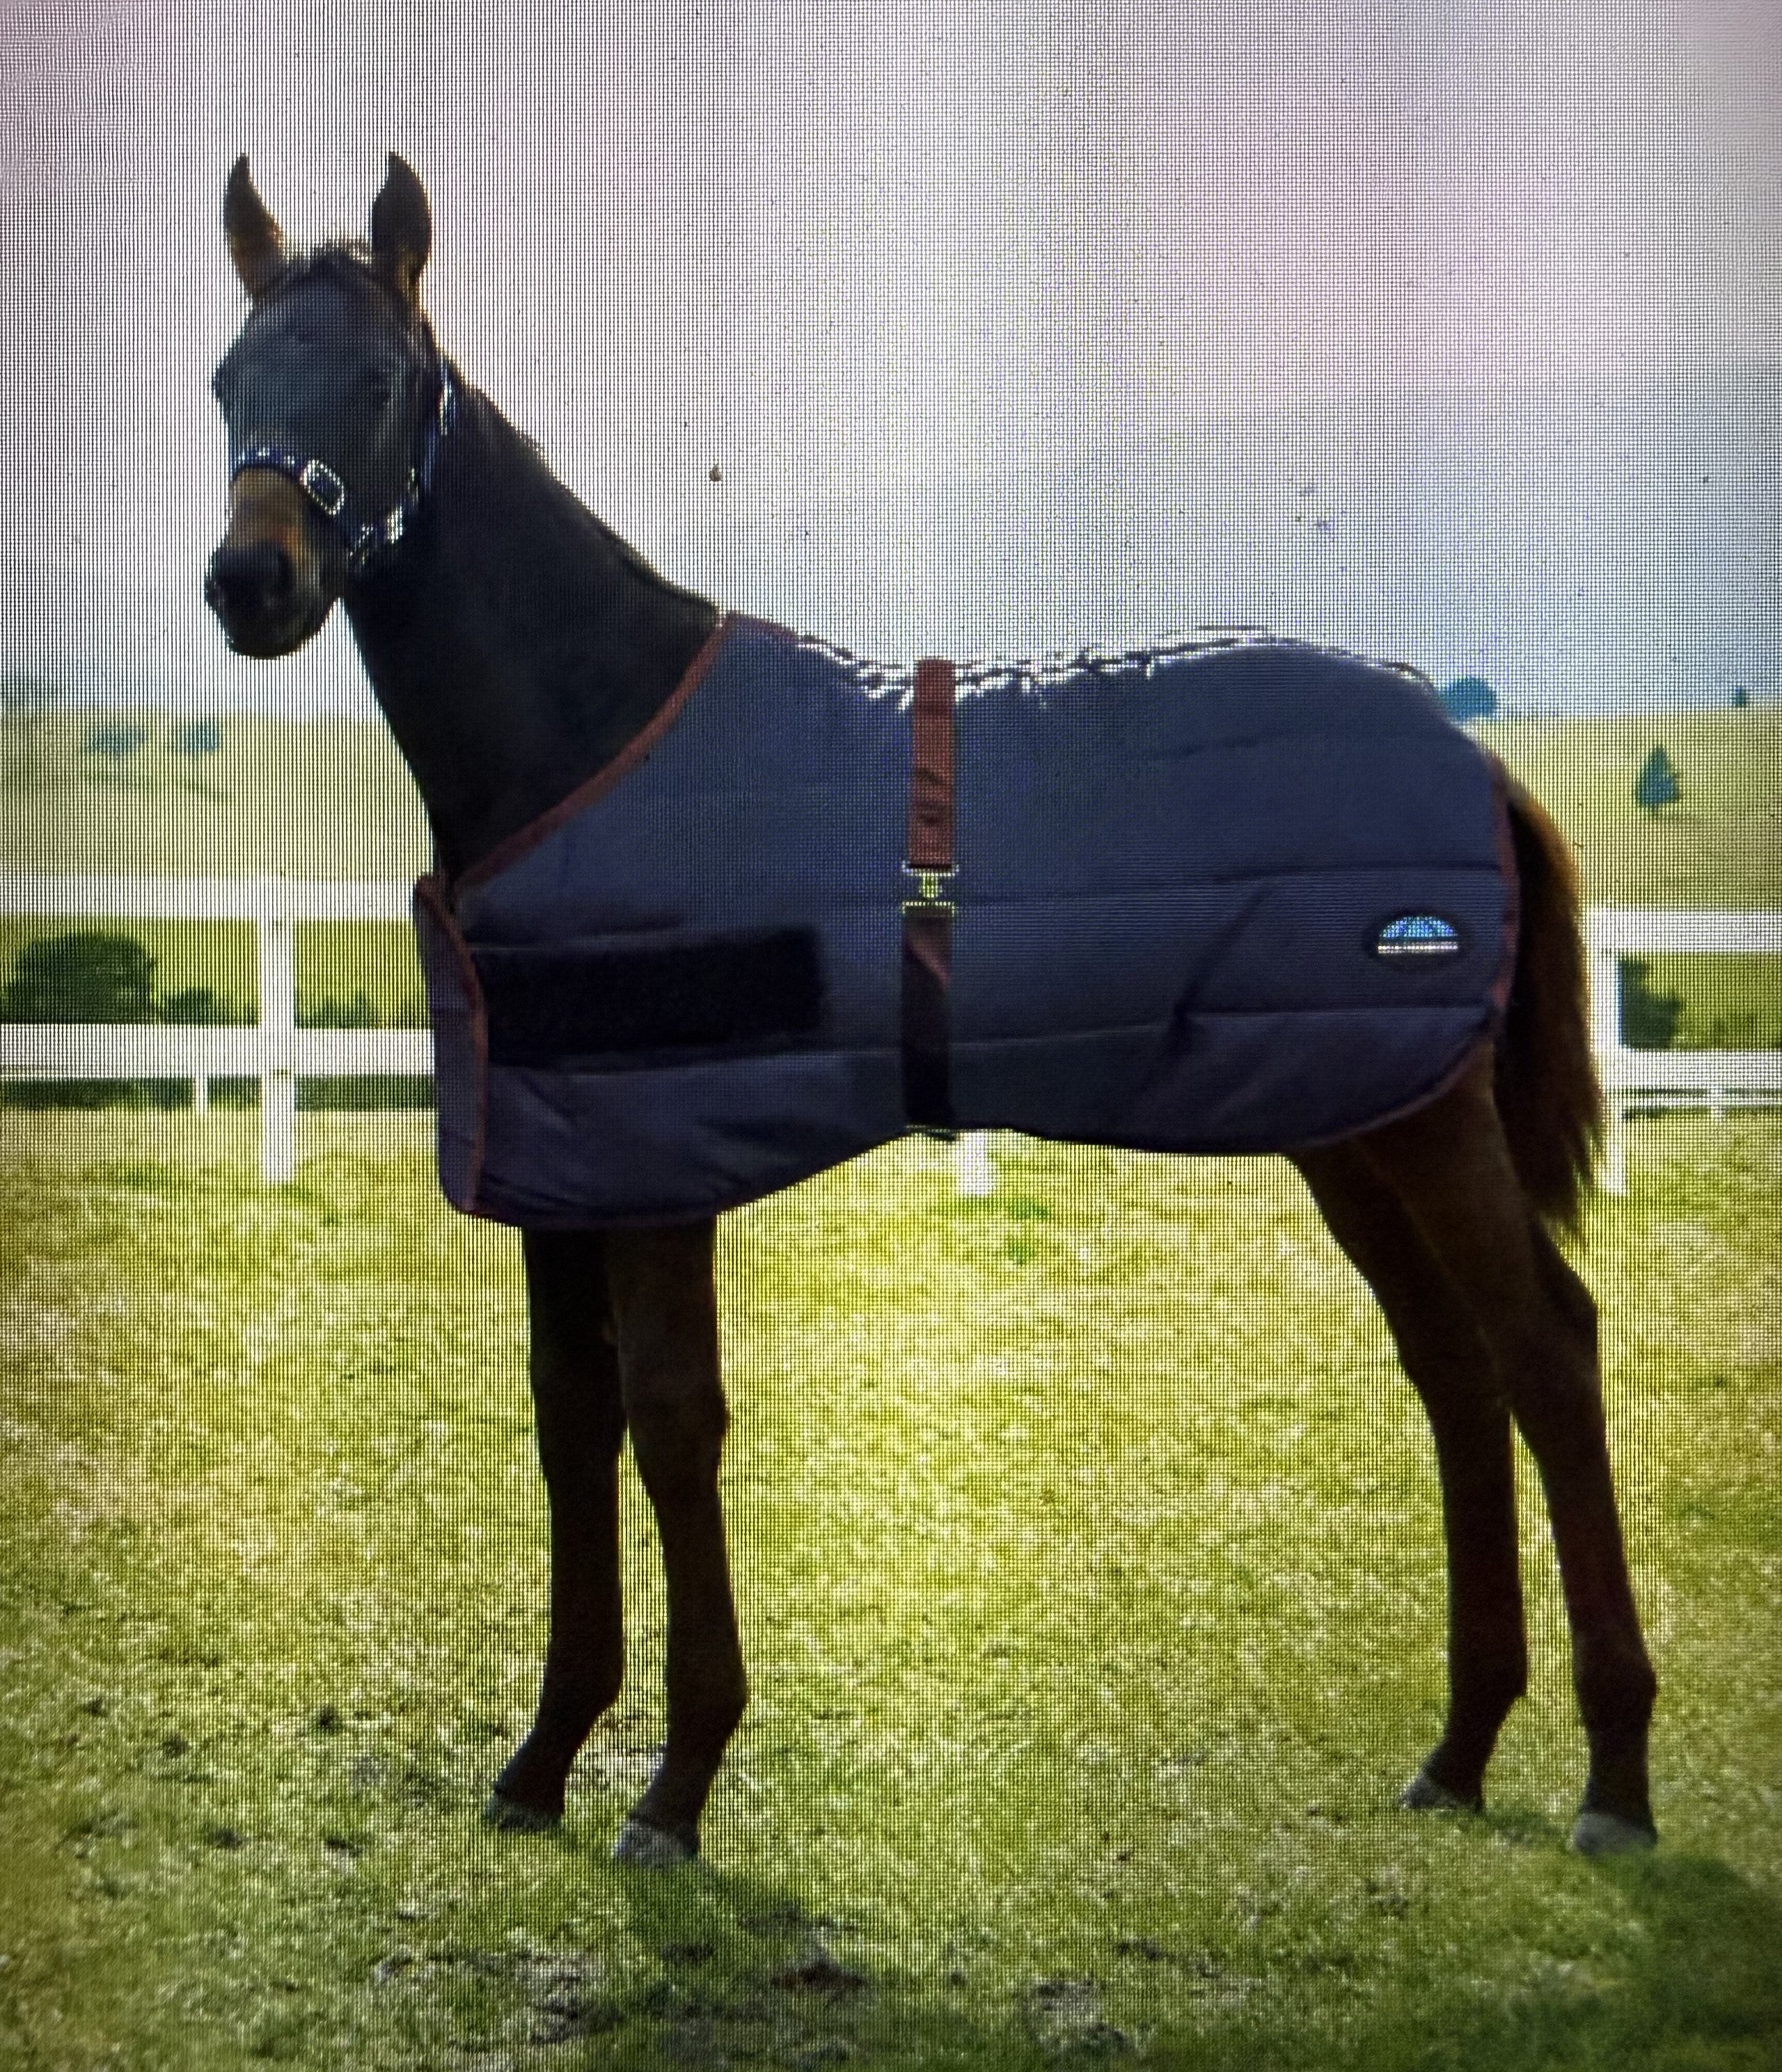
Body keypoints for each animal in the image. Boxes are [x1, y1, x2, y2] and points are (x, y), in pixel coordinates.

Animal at [202, 154, 1658, 1867]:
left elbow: (671, 1422)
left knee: (1545, 1349)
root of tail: (1475, 756)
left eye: (375, 382)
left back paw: (1614, 1781)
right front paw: (544, 1759)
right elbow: (571, 1423)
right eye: (228, 380)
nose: (251, 585)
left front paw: (675, 1787)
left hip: (1423, 1124)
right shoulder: (563, 1169)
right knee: (1455, 1370)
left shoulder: (659, 1179)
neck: (596, 732)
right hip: (1349, 1121)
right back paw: (1459, 1748)